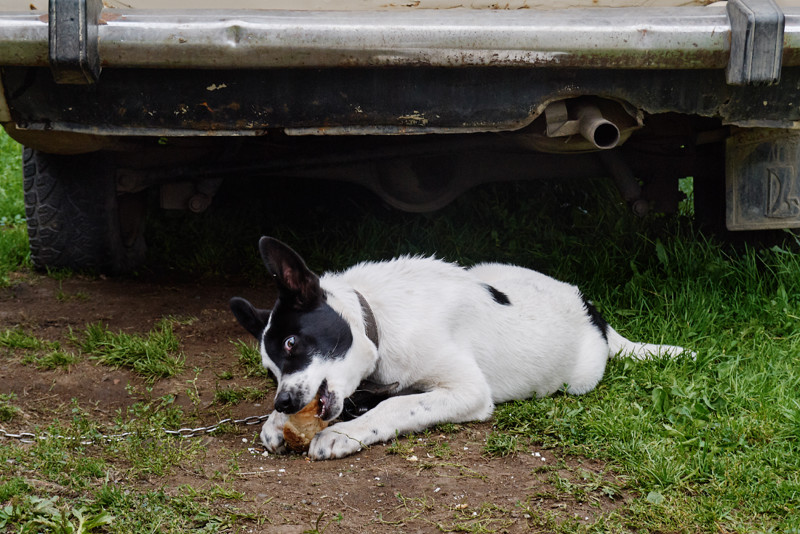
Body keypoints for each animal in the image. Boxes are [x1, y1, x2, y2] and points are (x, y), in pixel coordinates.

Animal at [230, 238, 688, 460]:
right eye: (270, 369)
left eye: (292, 343)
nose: (283, 402)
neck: (380, 321)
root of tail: (591, 310)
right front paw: (275, 422)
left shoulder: (468, 391)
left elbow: (395, 405)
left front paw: (343, 433)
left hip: (580, 377)